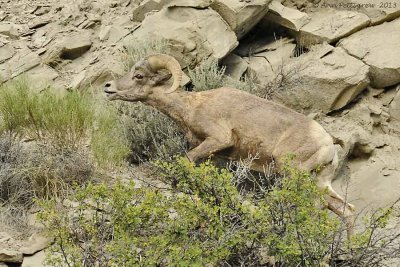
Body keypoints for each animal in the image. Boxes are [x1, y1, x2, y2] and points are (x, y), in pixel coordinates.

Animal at [104, 54, 354, 234]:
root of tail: (329, 142)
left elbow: (187, 161)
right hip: (321, 182)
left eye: (138, 76)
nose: (108, 87)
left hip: (296, 176)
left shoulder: (217, 139)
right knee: (347, 210)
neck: (192, 107)